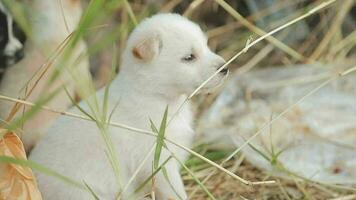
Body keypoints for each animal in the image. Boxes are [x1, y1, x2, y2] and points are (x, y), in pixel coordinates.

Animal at [29, 13, 227, 199]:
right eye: (189, 57)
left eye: (207, 46)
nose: (225, 68)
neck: (153, 94)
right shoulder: (159, 162)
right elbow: (175, 191)